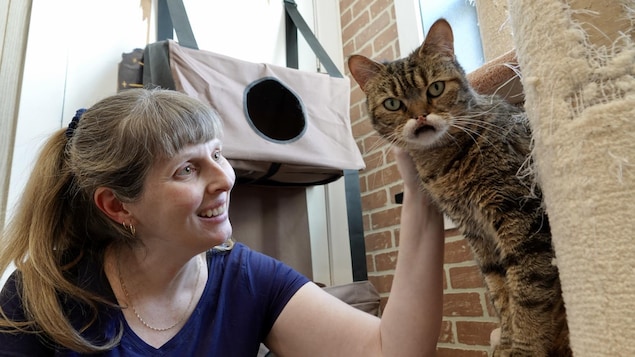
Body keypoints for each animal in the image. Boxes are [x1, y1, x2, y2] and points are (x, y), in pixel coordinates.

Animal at [350, 20, 572, 356]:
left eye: (435, 88)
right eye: (392, 103)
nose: (419, 115)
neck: (445, 163)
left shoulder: (521, 216)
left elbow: (528, 291)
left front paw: (523, 348)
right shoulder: (478, 234)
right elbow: (501, 292)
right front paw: (505, 342)